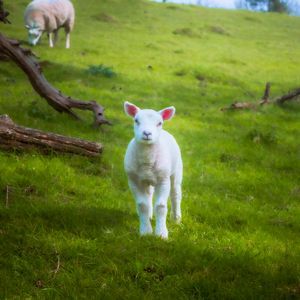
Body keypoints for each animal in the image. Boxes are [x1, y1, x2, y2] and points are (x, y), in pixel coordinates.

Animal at [123, 101, 182, 239]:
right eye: (136, 120)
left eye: (159, 123)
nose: (147, 133)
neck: (147, 161)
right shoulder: (134, 181)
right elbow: (142, 205)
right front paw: (145, 231)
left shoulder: (163, 180)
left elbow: (161, 206)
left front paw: (161, 233)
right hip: (146, 179)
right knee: (149, 195)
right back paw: (149, 216)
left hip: (176, 171)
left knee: (175, 194)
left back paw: (176, 218)